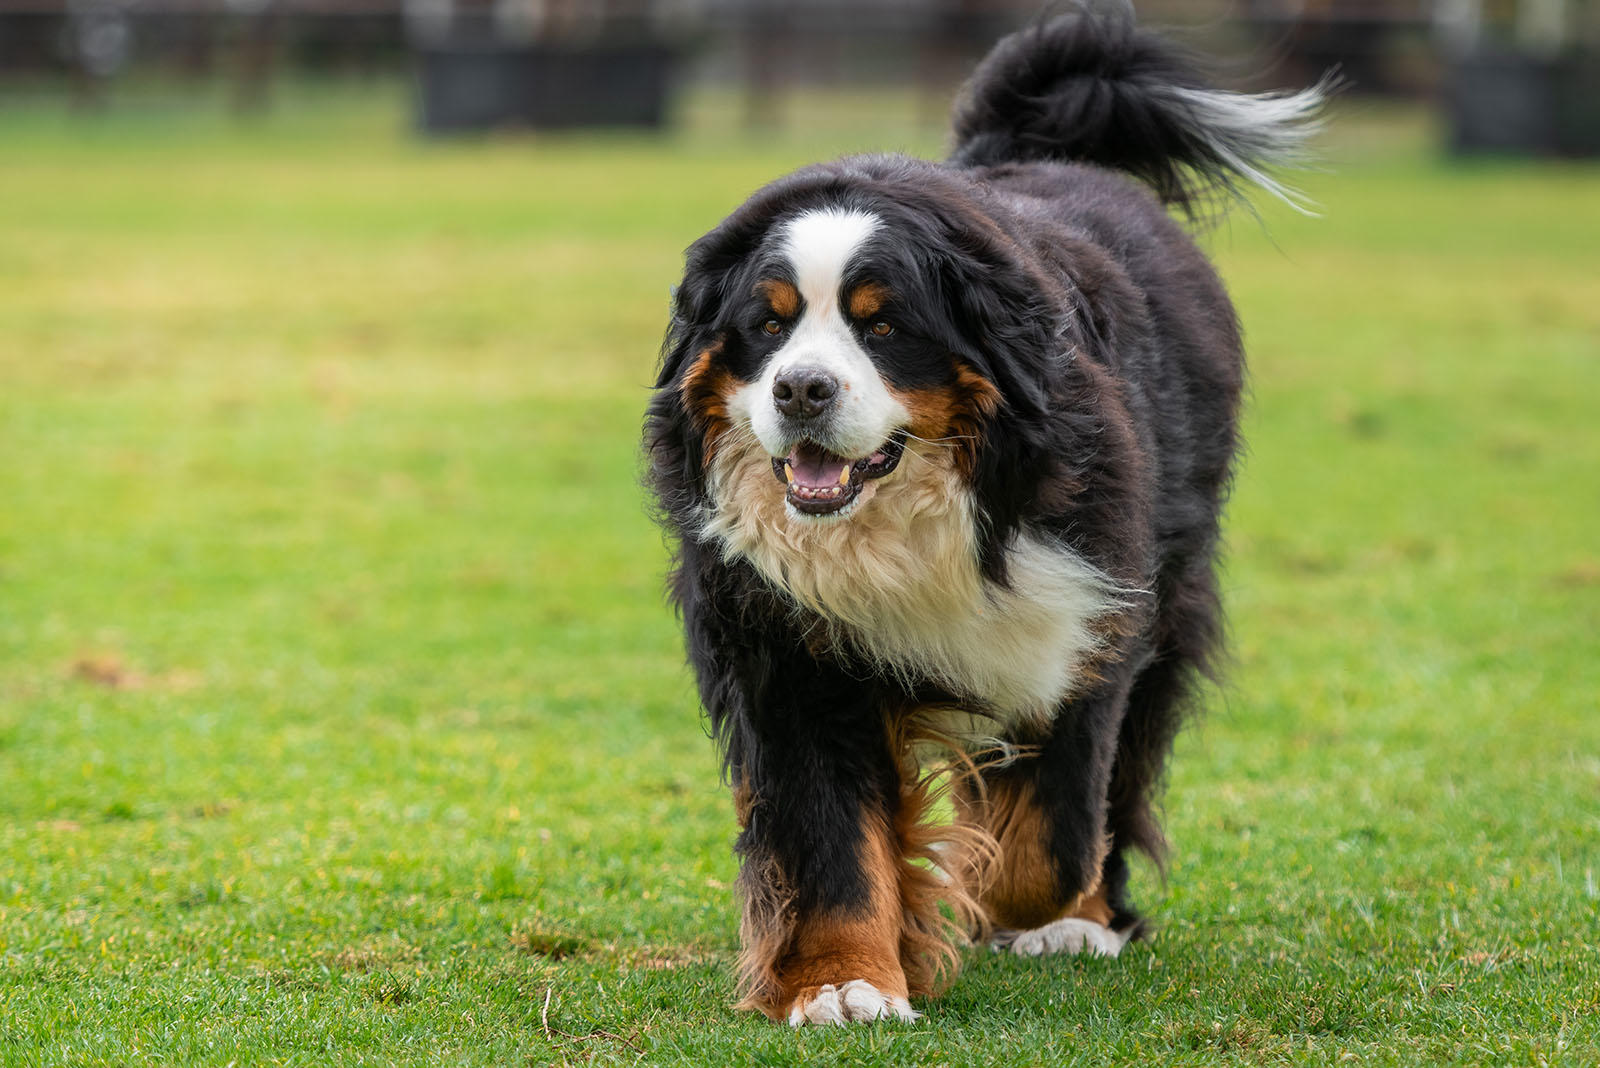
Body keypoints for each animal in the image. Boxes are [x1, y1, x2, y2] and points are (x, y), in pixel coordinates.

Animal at [636, 6, 1324, 1023]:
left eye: (883, 325)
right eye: (767, 324)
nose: (800, 389)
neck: (911, 512)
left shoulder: (1085, 606)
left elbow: (1051, 835)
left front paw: (1031, 910)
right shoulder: (786, 646)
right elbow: (829, 836)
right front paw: (845, 981)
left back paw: (1083, 918)